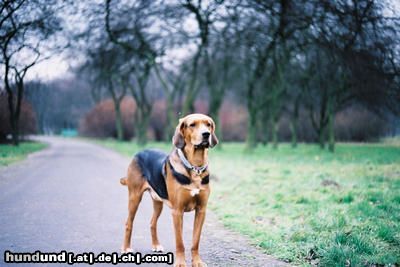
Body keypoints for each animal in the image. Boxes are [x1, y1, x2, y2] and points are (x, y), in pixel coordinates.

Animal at [119, 113, 219, 267]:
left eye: (208, 124)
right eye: (192, 125)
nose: (206, 134)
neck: (195, 167)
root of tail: (140, 152)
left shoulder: (201, 210)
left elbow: (195, 241)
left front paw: (197, 261)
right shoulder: (177, 211)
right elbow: (180, 242)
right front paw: (180, 262)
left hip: (158, 201)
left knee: (152, 223)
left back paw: (156, 245)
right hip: (134, 197)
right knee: (128, 223)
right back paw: (126, 248)